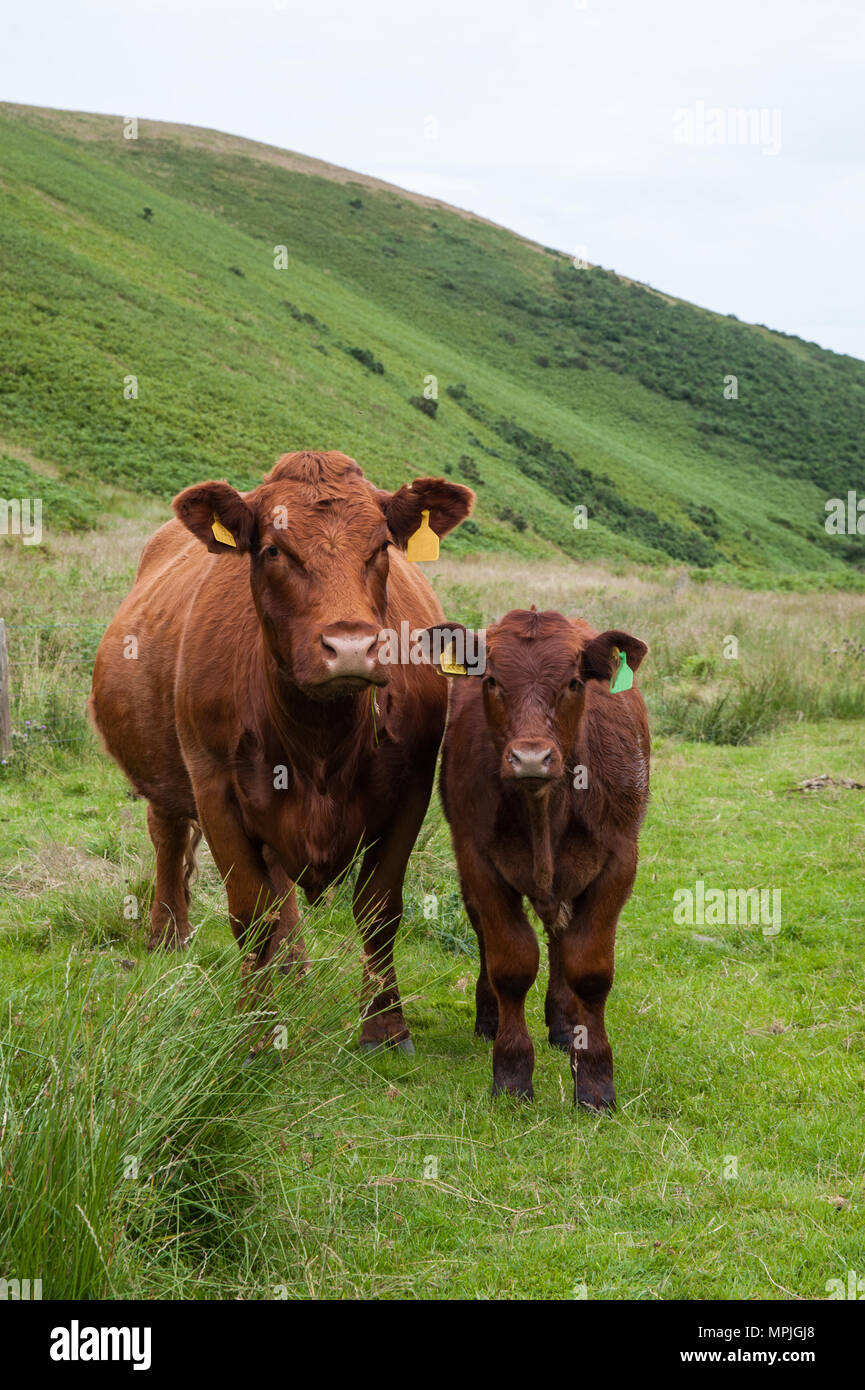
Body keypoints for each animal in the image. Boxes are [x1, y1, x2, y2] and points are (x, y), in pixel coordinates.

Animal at [91, 450, 475, 1045]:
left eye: (382, 547)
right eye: (273, 549)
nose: (351, 647)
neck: (320, 743)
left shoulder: (411, 786)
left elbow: (379, 908)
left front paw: (385, 1026)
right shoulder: (215, 788)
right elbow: (251, 914)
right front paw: (255, 1030)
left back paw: (294, 965)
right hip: (163, 770)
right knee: (169, 838)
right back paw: (167, 938)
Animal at [436, 608, 648, 1106]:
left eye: (574, 681)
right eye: (491, 680)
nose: (530, 757)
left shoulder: (618, 863)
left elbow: (589, 967)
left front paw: (594, 1079)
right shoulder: (477, 862)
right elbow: (511, 963)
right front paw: (512, 1075)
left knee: (560, 941)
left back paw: (564, 1024)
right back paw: (491, 1018)